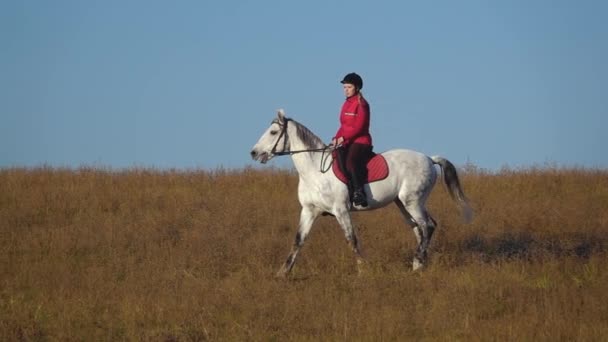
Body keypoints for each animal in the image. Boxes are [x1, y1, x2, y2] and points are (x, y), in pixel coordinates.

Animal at [249, 111, 472, 276]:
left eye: (273, 132)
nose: (253, 153)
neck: (314, 171)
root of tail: (429, 158)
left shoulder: (341, 210)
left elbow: (351, 239)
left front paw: (364, 269)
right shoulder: (309, 211)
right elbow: (298, 240)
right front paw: (282, 273)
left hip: (413, 201)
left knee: (428, 226)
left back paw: (418, 262)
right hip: (403, 204)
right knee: (420, 229)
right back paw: (420, 264)